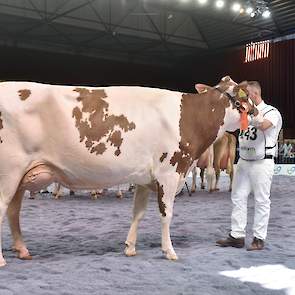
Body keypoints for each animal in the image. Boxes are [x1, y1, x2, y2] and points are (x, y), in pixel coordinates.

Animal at [0, 76, 256, 266]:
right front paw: (169, 251)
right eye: (243, 95)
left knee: (13, 211)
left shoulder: (144, 178)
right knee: (4, 209)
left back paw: (22, 250)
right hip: (9, 172)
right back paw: (3, 260)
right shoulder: (169, 172)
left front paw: (130, 247)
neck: (190, 118)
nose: (255, 111)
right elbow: (166, 214)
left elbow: (138, 213)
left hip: (20, 175)